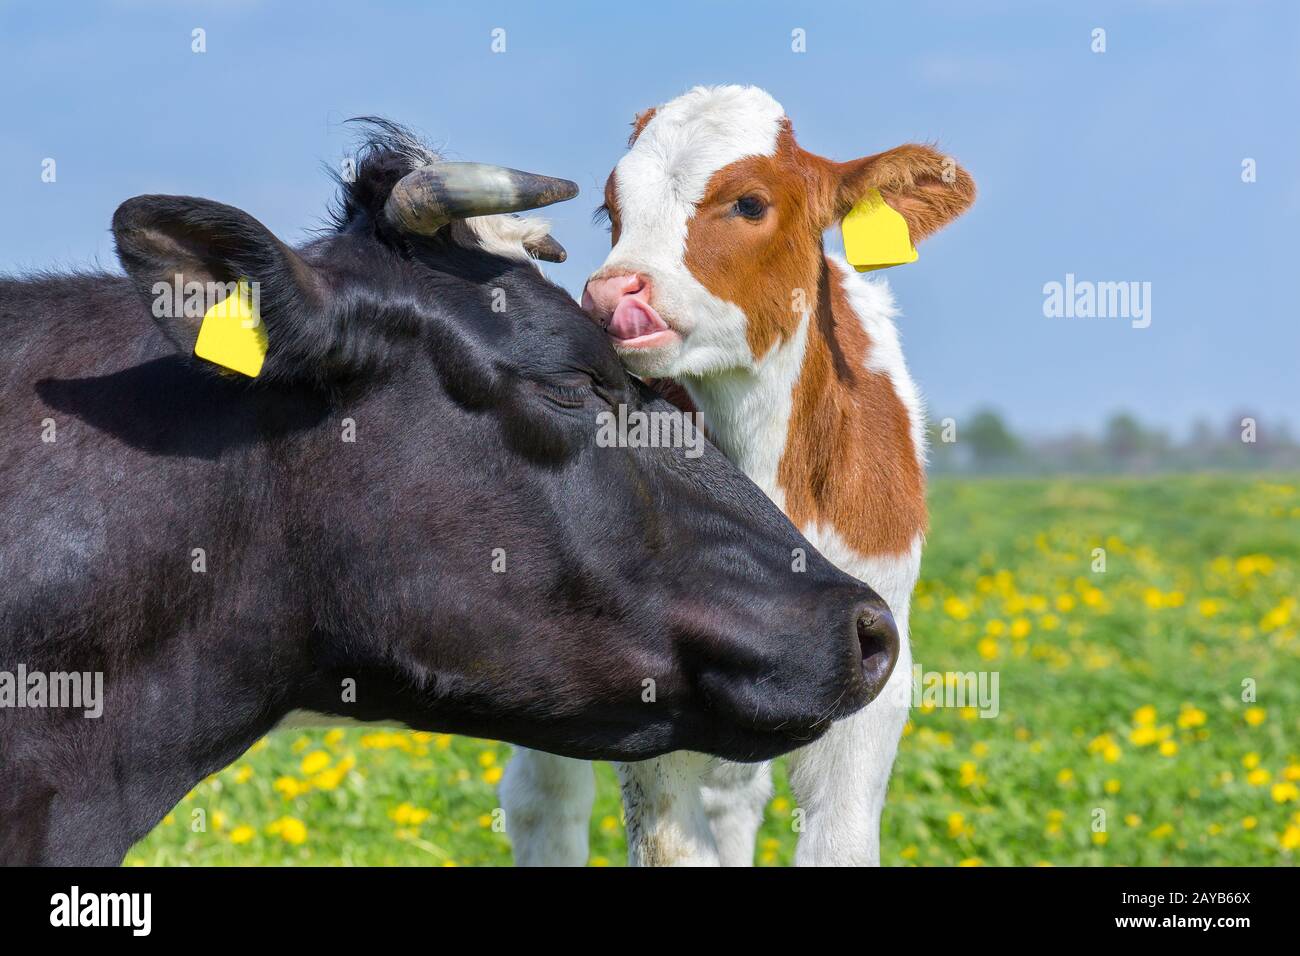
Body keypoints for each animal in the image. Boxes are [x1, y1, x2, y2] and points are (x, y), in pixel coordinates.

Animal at [501, 87, 972, 868]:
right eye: (611, 208)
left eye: (749, 203)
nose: (611, 295)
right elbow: (669, 843)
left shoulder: (875, 663)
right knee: (544, 799)